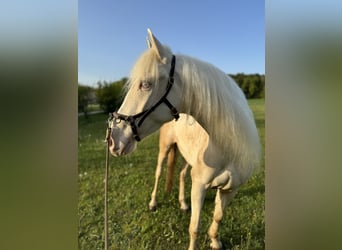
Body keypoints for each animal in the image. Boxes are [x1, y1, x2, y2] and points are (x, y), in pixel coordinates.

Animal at [111, 28, 260, 250]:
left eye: (145, 84)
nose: (113, 138)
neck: (226, 147)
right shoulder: (199, 187)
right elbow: (194, 227)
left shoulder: (230, 190)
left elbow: (218, 217)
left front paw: (215, 241)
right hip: (164, 149)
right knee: (158, 173)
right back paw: (153, 203)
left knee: (181, 174)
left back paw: (182, 204)